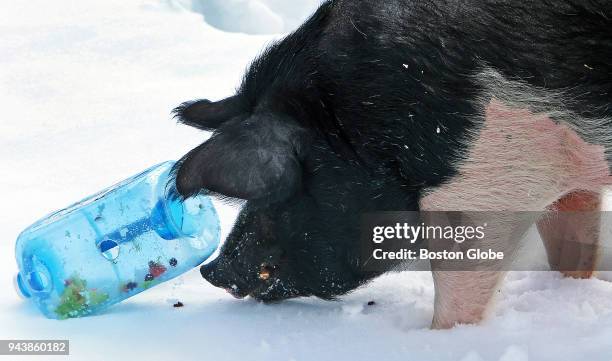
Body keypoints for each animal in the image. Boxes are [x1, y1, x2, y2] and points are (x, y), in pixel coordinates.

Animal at [171, 0, 612, 328]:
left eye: (282, 189)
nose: (213, 270)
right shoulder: (569, 177)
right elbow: (571, 248)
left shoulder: (487, 185)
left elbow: (460, 286)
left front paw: (441, 338)